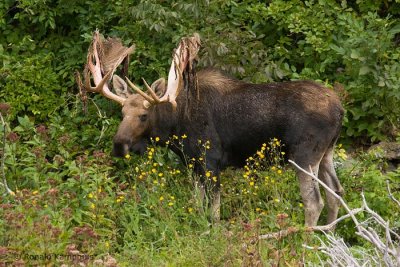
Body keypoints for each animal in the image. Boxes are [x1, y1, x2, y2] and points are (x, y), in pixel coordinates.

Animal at [77, 31, 344, 228]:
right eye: (122, 113)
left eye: (143, 115)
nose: (118, 145)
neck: (175, 129)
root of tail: (340, 109)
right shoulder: (193, 164)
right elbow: (198, 205)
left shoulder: (211, 161)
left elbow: (214, 211)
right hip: (326, 153)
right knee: (335, 192)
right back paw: (328, 235)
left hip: (304, 155)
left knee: (314, 202)